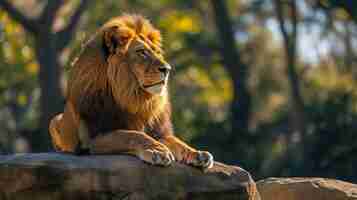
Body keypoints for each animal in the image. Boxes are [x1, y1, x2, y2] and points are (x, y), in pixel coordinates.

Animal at [48, 14, 213, 168]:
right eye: (142, 52)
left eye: (157, 52)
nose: (167, 69)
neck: (134, 97)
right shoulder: (93, 137)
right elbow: (133, 135)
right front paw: (157, 150)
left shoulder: (159, 131)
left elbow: (177, 142)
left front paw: (197, 153)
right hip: (54, 120)